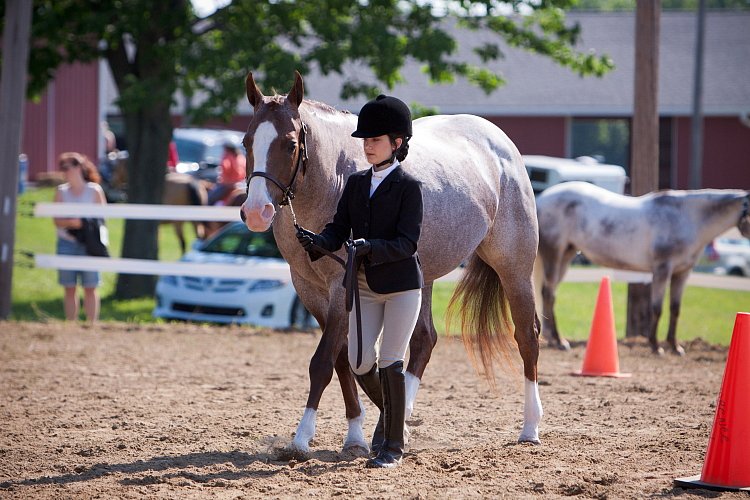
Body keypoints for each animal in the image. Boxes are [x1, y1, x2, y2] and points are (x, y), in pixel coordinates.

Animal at [244, 71, 544, 458]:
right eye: (247, 142)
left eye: (290, 143)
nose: (256, 212)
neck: (334, 180)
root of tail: (501, 143)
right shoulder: (309, 290)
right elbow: (345, 360)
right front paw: (357, 435)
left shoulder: (341, 289)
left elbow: (323, 362)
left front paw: (302, 437)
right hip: (422, 276)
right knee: (424, 341)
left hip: (514, 270)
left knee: (527, 337)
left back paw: (530, 428)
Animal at [536, 182, 748, 354]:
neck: (685, 218)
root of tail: (541, 199)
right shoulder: (662, 269)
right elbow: (657, 308)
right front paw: (655, 345)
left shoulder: (682, 273)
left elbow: (675, 309)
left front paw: (674, 346)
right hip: (554, 254)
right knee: (549, 294)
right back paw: (558, 341)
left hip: (567, 255)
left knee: (548, 293)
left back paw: (554, 339)